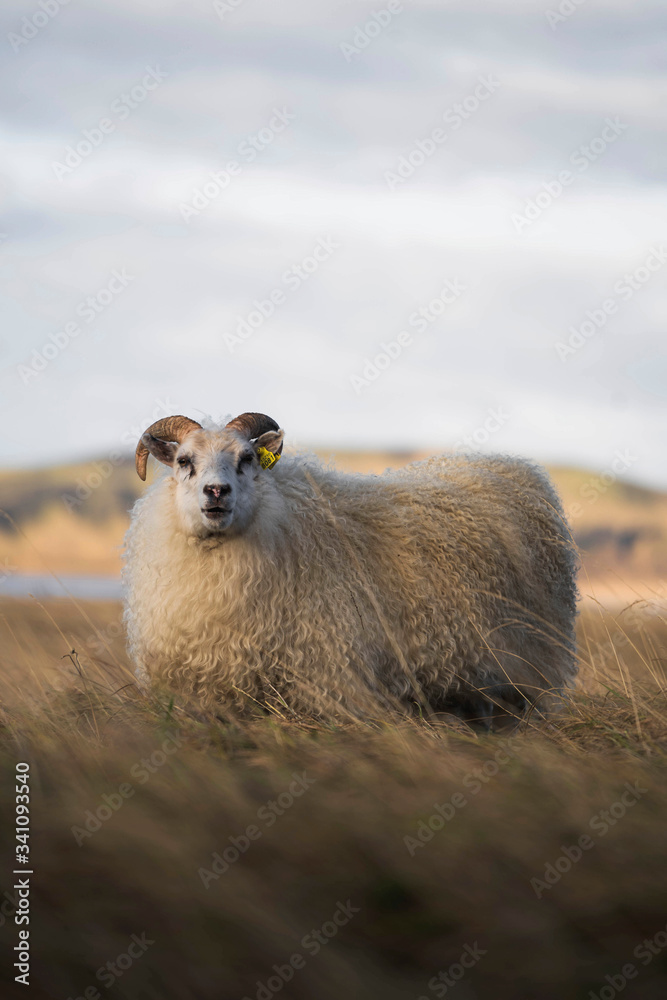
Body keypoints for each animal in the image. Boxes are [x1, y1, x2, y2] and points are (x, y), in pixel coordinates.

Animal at [124, 410, 580, 724]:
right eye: (184, 461)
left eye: (247, 458)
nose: (216, 491)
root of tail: (517, 469)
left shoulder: (331, 675)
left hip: (530, 661)